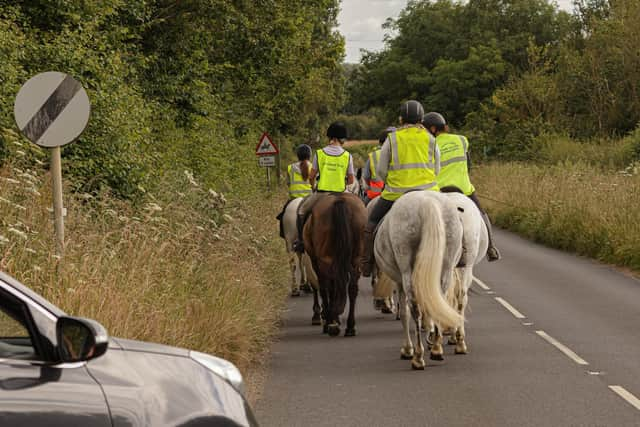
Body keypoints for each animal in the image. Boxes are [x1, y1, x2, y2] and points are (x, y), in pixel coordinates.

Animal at [304, 193, 368, 338]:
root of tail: (339, 199)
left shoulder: (316, 262)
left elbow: (325, 288)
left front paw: (329, 320)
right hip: (356, 258)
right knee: (352, 288)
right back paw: (350, 327)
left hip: (325, 259)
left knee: (330, 286)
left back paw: (331, 323)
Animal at [372, 191, 462, 372]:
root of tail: (427, 202)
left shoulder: (399, 281)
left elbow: (404, 311)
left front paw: (407, 349)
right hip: (446, 267)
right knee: (438, 302)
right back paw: (436, 349)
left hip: (406, 268)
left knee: (413, 308)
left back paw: (418, 357)